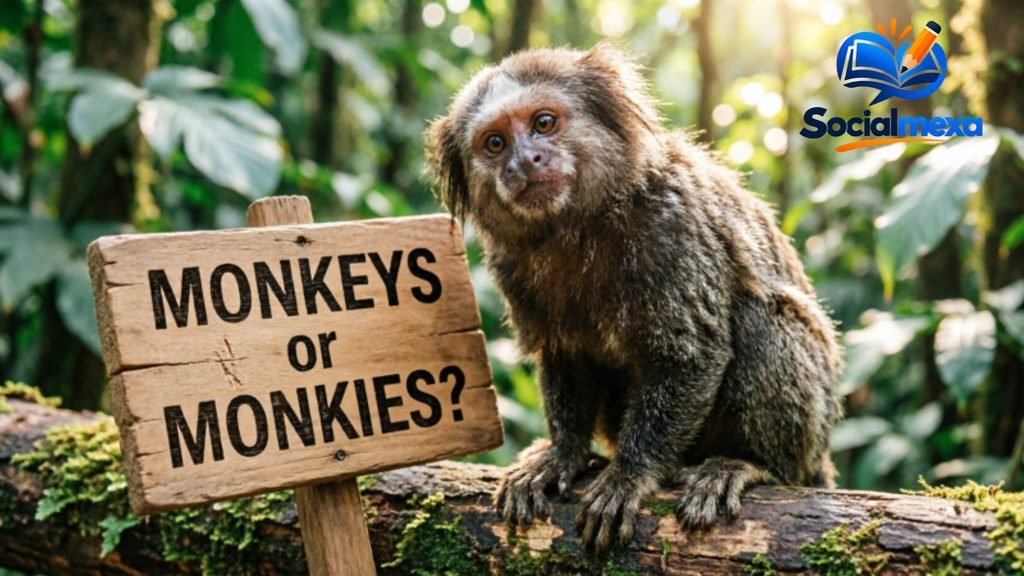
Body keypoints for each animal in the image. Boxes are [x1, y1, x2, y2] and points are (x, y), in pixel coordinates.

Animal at [425, 43, 843, 554]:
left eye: (543, 123)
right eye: (495, 144)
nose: (526, 161)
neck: (580, 229)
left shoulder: (673, 226)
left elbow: (691, 356)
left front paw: (629, 473)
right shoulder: (510, 265)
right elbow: (566, 356)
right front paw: (563, 452)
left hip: (810, 439)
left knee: (764, 317)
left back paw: (751, 465)